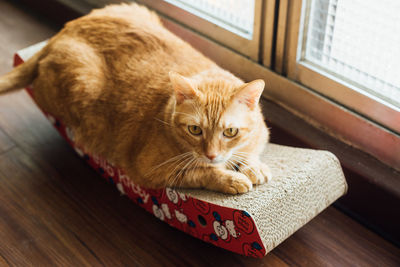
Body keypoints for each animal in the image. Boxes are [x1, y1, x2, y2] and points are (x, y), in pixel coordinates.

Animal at [0, 2, 270, 195]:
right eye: (195, 130)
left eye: (230, 132)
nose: (211, 155)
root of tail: (60, 32)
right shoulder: (154, 171)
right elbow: (201, 172)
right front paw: (231, 178)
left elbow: (251, 150)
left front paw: (253, 166)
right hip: (81, 83)